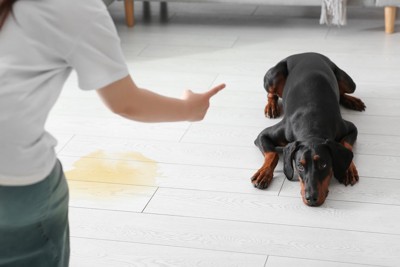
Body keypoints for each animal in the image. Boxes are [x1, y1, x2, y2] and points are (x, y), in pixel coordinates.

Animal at [252, 52, 368, 207]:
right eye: (300, 166)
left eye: (324, 164)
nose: (311, 198)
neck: (312, 127)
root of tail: (306, 53)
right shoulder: (263, 135)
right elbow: (272, 154)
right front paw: (264, 173)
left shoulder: (350, 128)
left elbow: (346, 144)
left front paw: (348, 169)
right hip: (273, 76)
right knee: (271, 94)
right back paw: (271, 106)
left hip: (349, 83)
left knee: (343, 92)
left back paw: (352, 101)